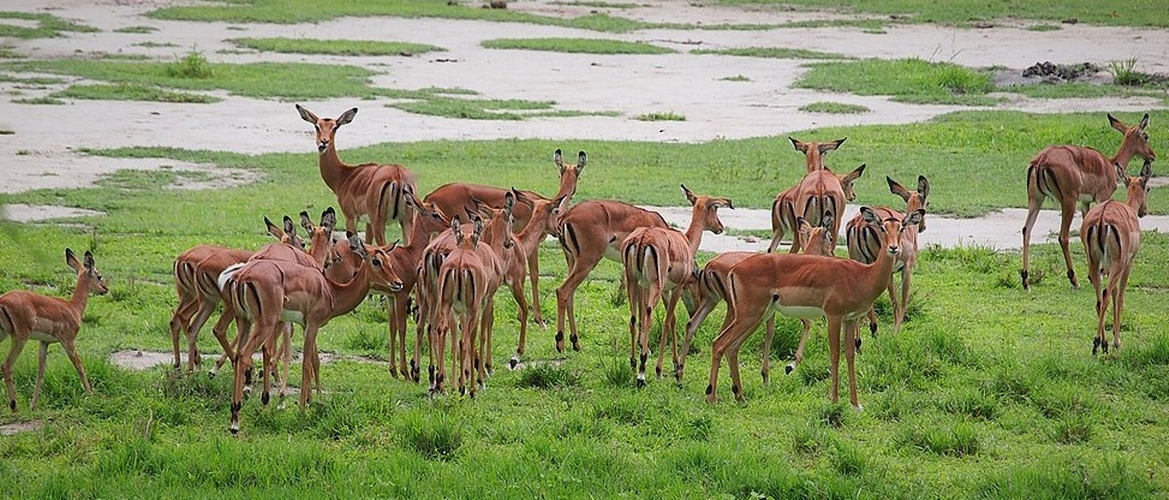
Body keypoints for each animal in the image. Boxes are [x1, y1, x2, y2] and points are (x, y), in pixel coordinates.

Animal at [1, 247, 108, 411]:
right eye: (99, 275)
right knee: (6, 366)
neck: (73, 308)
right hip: (20, 337)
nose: (105, 289)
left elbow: (40, 372)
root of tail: (3, 300)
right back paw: (14, 407)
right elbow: (79, 366)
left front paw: (33, 405)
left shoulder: (44, 342)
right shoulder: (68, 341)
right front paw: (91, 395)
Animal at [621, 185, 729, 385]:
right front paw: (660, 370)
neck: (686, 242)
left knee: (633, 316)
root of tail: (643, 238)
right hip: (654, 286)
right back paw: (642, 372)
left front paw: (673, 363)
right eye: (716, 208)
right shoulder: (677, 287)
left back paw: (633, 363)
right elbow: (668, 320)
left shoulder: (665, 290)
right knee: (649, 314)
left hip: (633, 281)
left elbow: (671, 320)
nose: (720, 227)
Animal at [701, 205, 921, 406]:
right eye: (882, 228)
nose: (893, 248)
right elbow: (835, 354)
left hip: (757, 316)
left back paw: (739, 396)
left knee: (730, 347)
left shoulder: (850, 319)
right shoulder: (833, 316)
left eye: (901, 228)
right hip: (749, 315)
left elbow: (850, 355)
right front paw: (833, 399)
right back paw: (711, 397)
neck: (862, 276)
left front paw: (855, 403)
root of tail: (734, 269)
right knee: (719, 344)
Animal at [1024, 112, 1150, 288]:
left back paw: (1025, 280)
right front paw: (1100, 273)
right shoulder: (1102, 198)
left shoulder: (1085, 203)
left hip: (1036, 199)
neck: (1110, 165)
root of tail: (1042, 159)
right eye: (1146, 136)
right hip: (1068, 202)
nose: (1152, 155)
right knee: (1063, 237)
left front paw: (1092, 275)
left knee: (1026, 230)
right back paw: (1074, 279)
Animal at [1080, 162, 1145, 352]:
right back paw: (1099, 343)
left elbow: (1115, 293)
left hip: (1094, 262)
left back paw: (1102, 343)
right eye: (1148, 188)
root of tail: (1102, 218)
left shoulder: (1108, 266)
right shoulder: (1128, 262)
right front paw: (1117, 341)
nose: (1144, 211)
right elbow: (1120, 296)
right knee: (1106, 295)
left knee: (1099, 298)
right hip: (1118, 263)